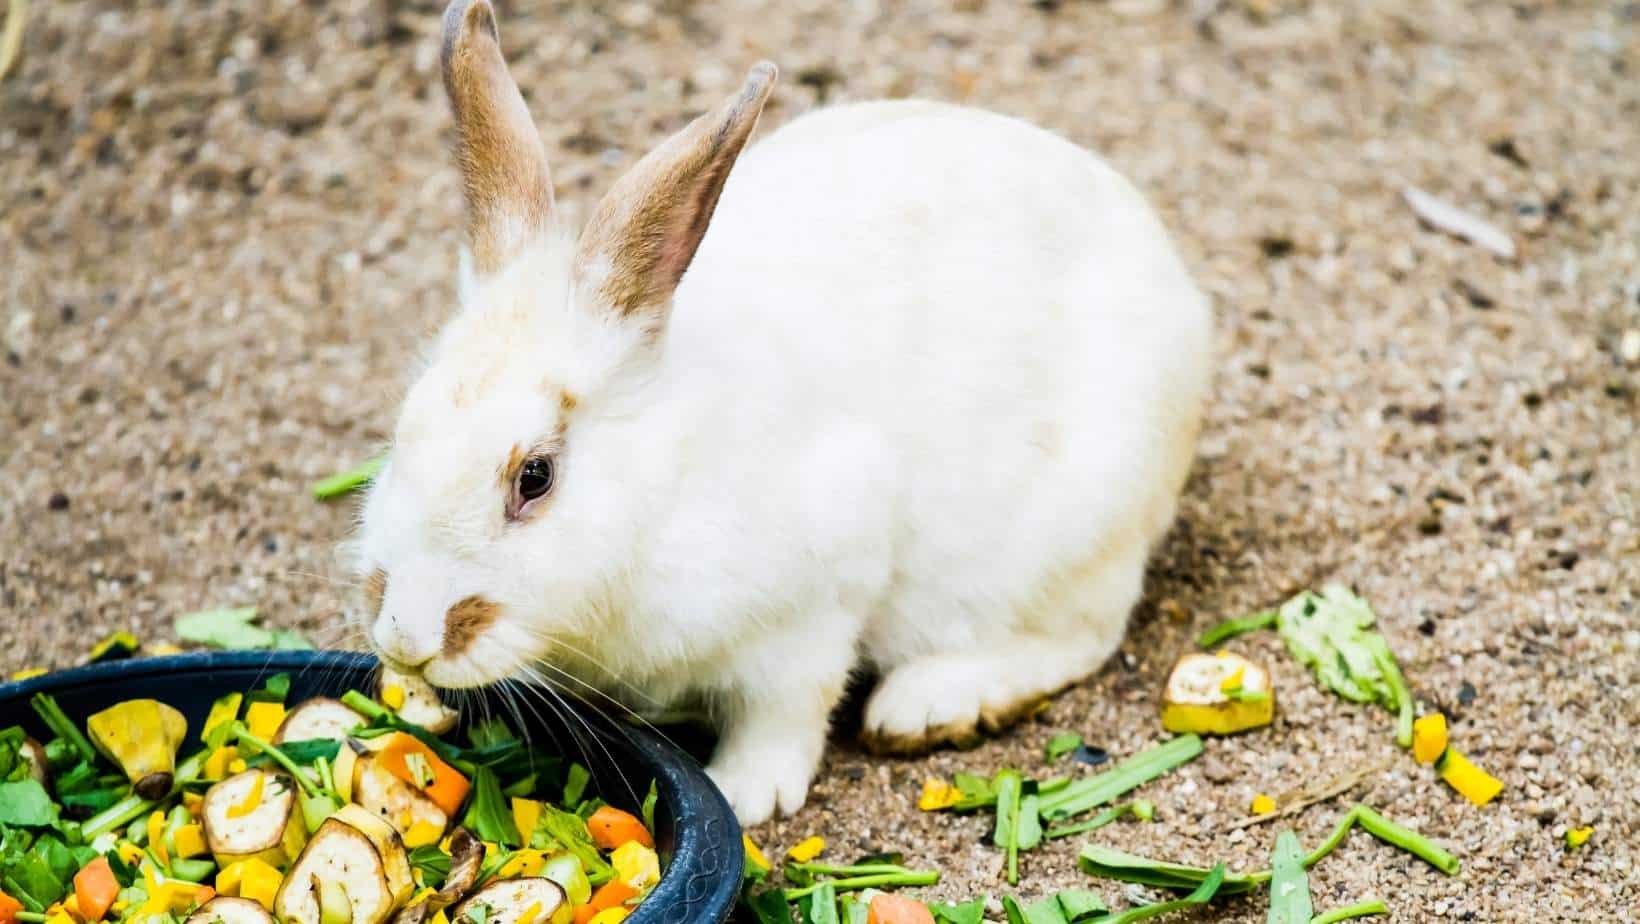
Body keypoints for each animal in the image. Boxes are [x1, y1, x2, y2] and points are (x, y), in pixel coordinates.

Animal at [355, 0, 1207, 823]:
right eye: (402, 433)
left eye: (535, 477)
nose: (406, 637)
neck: (664, 478)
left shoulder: (812, 609)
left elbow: (788, 712)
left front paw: (744, 794)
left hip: (1068, 542)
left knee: (1082, 638)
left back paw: (928, 705)